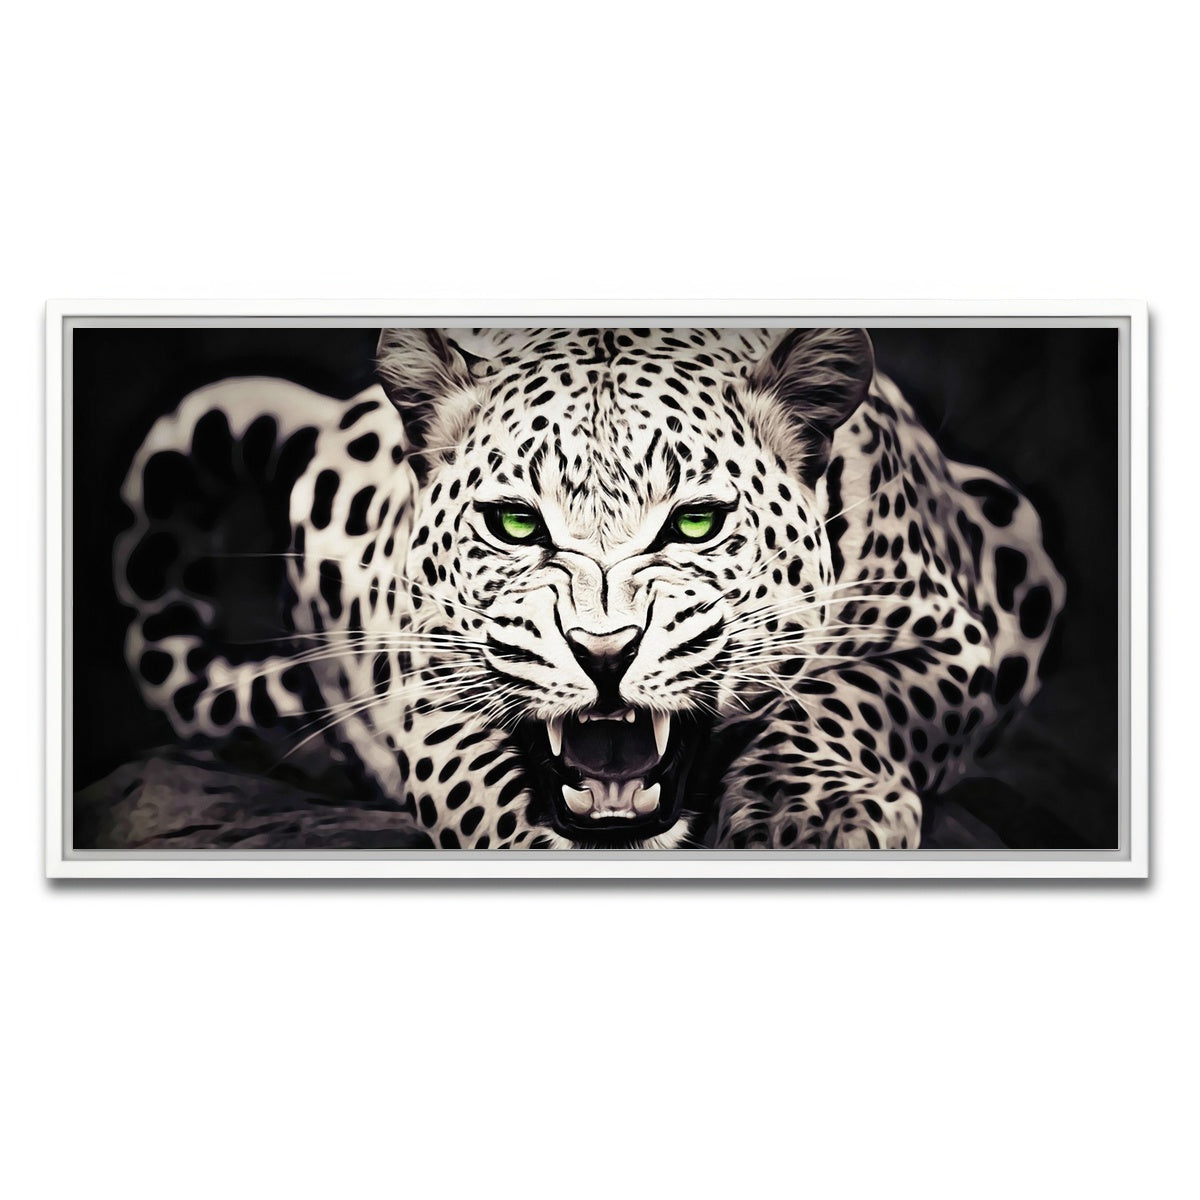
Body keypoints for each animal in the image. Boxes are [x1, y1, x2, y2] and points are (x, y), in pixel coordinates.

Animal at [113, 327, 1065, 849]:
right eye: (514, 524)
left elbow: (855, 694)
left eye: (695, 523)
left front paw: (811, 813)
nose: (604, 653)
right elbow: (478, 782)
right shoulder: (433, 682)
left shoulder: (948, 632)